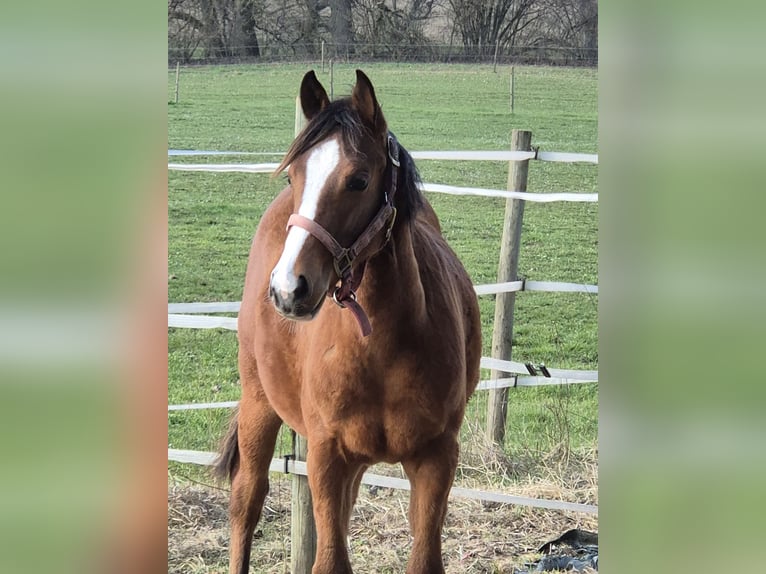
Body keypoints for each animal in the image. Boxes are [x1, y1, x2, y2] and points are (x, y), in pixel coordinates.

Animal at [215, 69, 482, 574]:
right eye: (295, 173)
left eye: (358, 180)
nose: (288, 289)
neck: (383, 347)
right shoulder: (326, 456)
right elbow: (330, 559)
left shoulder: (436, 458)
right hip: (259, 403)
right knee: (246, 501)